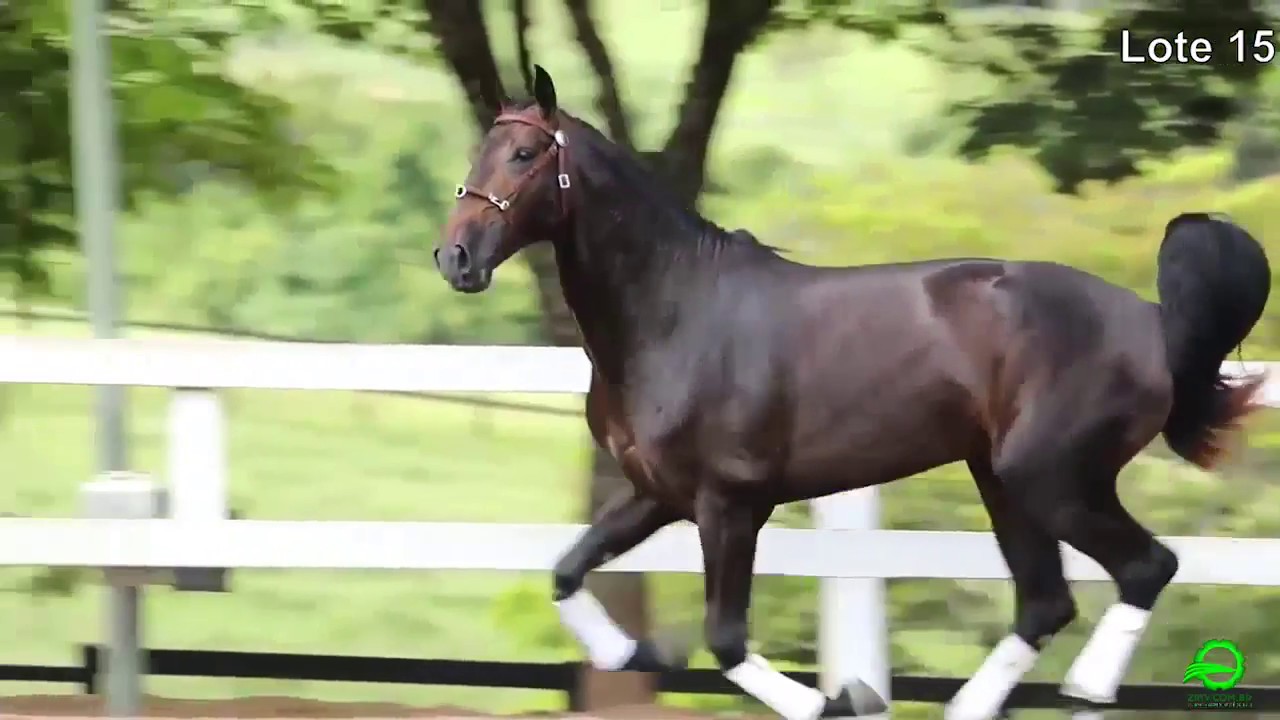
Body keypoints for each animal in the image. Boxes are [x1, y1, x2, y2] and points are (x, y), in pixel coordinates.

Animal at [435, 64, 1271, 720]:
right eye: (479, 149)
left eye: (523, 154)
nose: (455, 258)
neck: (677, 313)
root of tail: (1153, 321)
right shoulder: (655, 494)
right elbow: (568, 572)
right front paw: (632, 653)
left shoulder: (730, 503)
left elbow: (727, 641)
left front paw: (842, 699)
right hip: (1004, 481)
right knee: (1046, 602)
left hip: (1053, 478)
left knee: (1145, 568)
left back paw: (1087, 696)